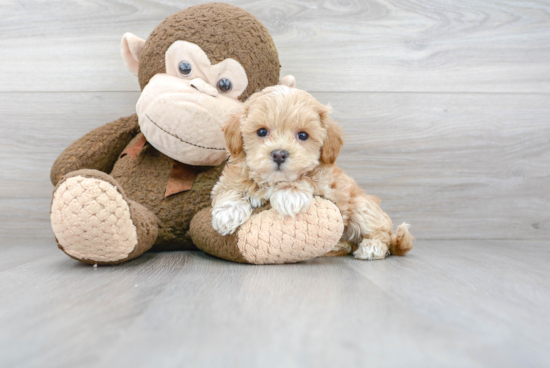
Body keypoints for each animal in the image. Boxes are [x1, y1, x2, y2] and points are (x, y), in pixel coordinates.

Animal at [211, 85, 414, 260]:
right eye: (261, 132)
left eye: (303, 135)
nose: (279, 154)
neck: (273, 181)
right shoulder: (230, 179)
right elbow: (228, 190)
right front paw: (227, 214)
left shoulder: (328, 188)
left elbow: (306, 179)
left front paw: (289, 195)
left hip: (361, 207)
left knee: (382, 235)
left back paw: (372, 248)